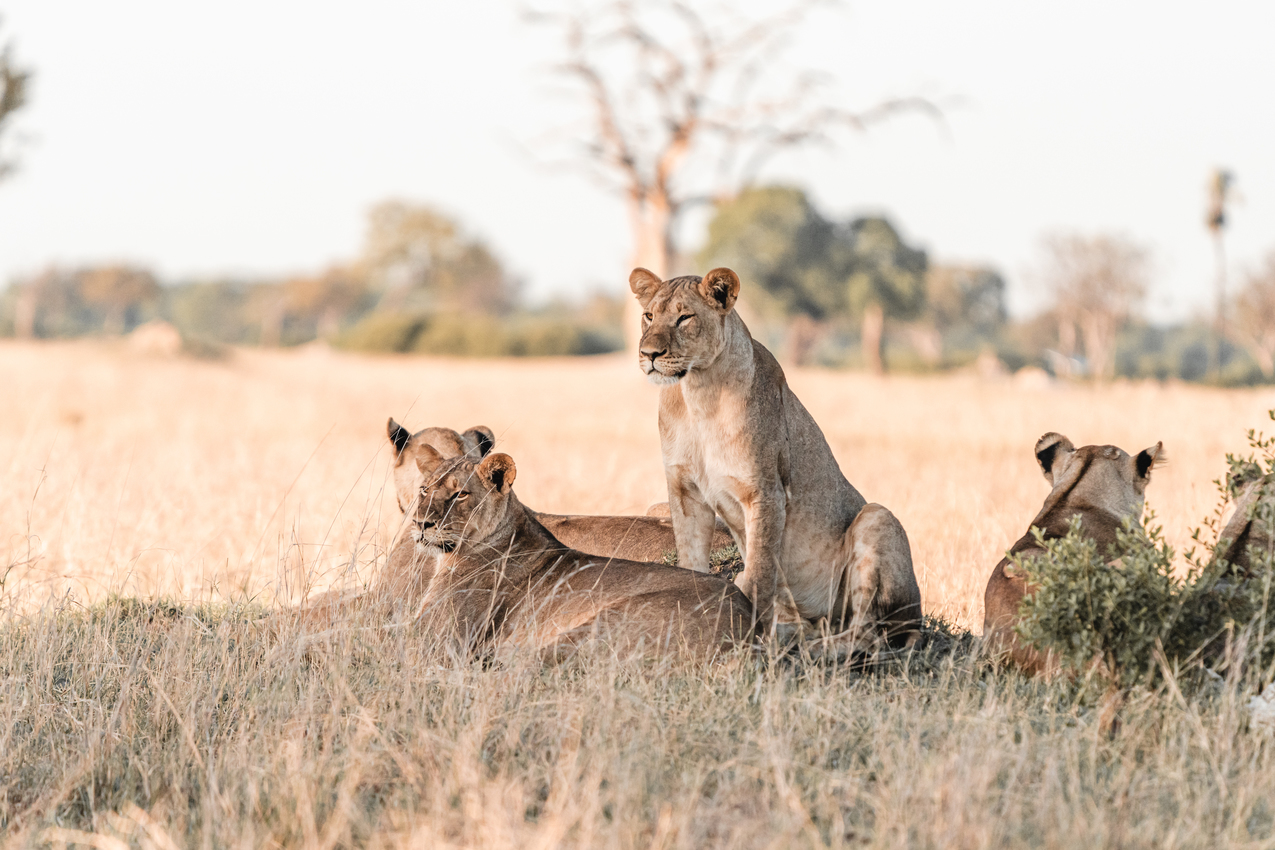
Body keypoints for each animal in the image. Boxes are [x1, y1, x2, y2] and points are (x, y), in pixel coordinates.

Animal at [408, 445, 755, 661]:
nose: (421, 523)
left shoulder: (437, 638)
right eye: (424, 490)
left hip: (601, 623)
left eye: (461, 494)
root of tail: (750, 625)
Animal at [629, 266, 922, 653]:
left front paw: (745, 636)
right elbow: (691, 562)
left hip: (878, 518)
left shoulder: (766, 492)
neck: (698, 393)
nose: (648, 353)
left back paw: (810, 646)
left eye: (684, 318)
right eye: (649, 316)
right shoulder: (685, 492)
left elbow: (759, 573)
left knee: (868, 633)